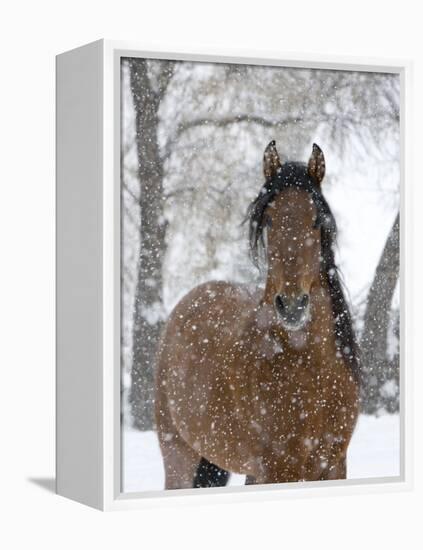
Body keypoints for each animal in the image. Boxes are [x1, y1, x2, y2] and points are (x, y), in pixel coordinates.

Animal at [154, 140, 360, 490]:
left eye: (316, 221)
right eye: (270, 221)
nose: (292, 305)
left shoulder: (333, 466)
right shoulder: (278, 470)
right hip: (179, 456)